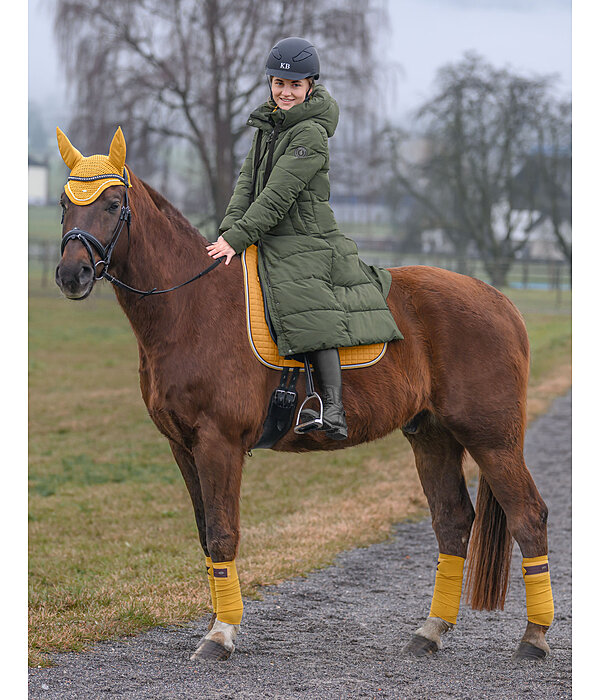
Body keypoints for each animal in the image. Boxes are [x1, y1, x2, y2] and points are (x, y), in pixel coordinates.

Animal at [55, 126, 552, 660]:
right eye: (64, 203)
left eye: (112, 204)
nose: (70, 274)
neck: (192, 307)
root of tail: (498, 300)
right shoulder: (182, 447)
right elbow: (207, 536)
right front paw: (216, 620)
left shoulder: (218, 444)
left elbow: (223, 533)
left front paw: (220, 633)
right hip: (433, 437)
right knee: (453, 522)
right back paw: (431, 630)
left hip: (492, 441)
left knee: (529, 517)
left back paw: (534, 636)